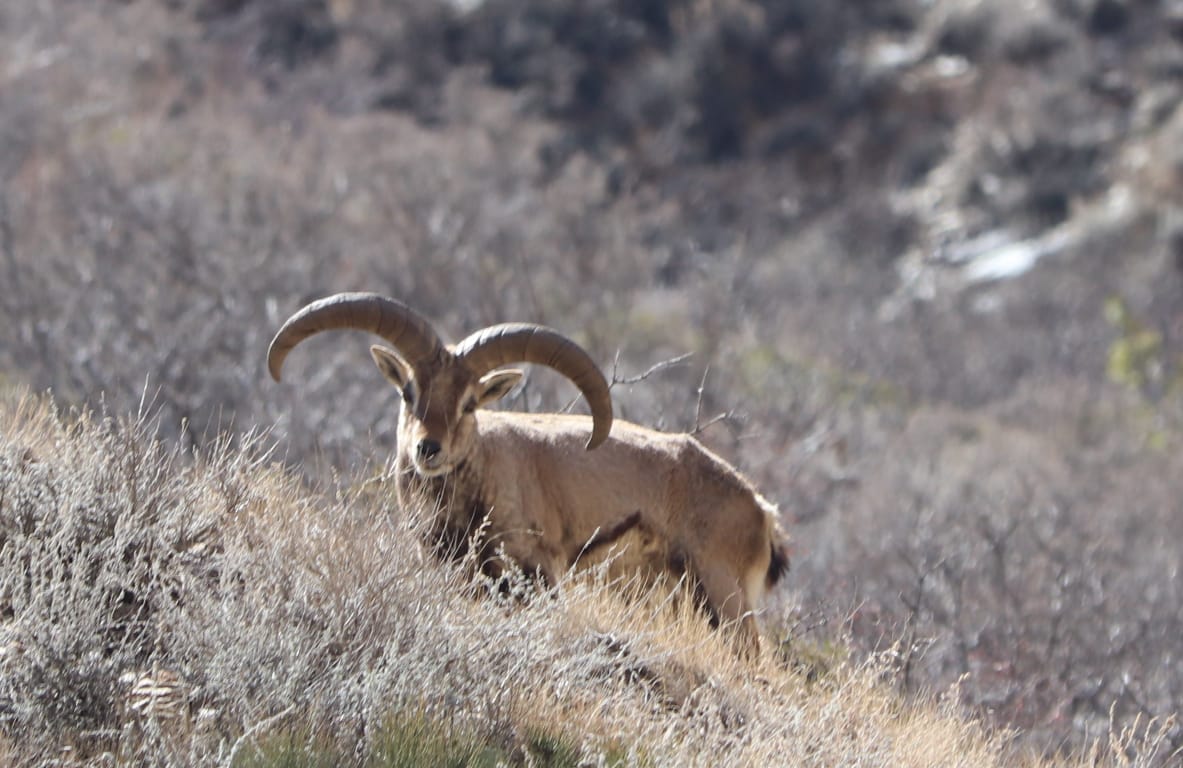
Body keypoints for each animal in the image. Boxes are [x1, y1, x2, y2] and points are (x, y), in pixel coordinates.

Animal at [267, 292, 789, 652]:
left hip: (722, 594)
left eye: (470, 401)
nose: (428, 448)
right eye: (407, 391)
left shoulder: (537, 571)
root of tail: (762, 511)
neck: (484, 477)